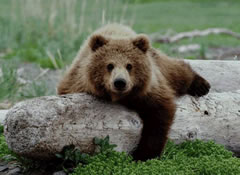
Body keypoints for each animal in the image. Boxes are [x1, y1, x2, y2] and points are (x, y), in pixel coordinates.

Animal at [57, 23, 210, 161]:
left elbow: (159, 116)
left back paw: (201, 86)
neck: (122, 97)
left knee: (176, 72)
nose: (120, 82)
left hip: (157, 61)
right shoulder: (76, 83)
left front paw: (144, 155)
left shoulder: (149, 90)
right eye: (109, 65)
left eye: (129, 65)